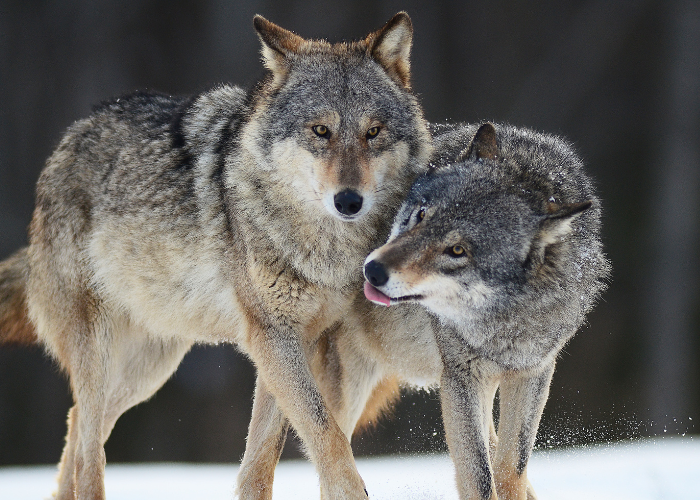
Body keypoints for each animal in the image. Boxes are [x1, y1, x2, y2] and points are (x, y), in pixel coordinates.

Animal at [0, 12, 433, 500]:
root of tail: (66, 141)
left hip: (148, 369)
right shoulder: (273, 336)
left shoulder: (294, 342)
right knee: (89, 449)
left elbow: (260, 460)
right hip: (101, 352)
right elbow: (326, 434)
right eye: (321, 131)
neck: (322, 247)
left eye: (373, 132)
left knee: (76, 424)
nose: (349, 201)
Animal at [363, 122, 611, 499]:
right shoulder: (460, 377)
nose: (373, 270)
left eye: (457, 250)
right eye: (421, 215)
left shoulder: (533, 371)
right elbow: (479, 476)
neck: (508, 319)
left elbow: (511, 466)